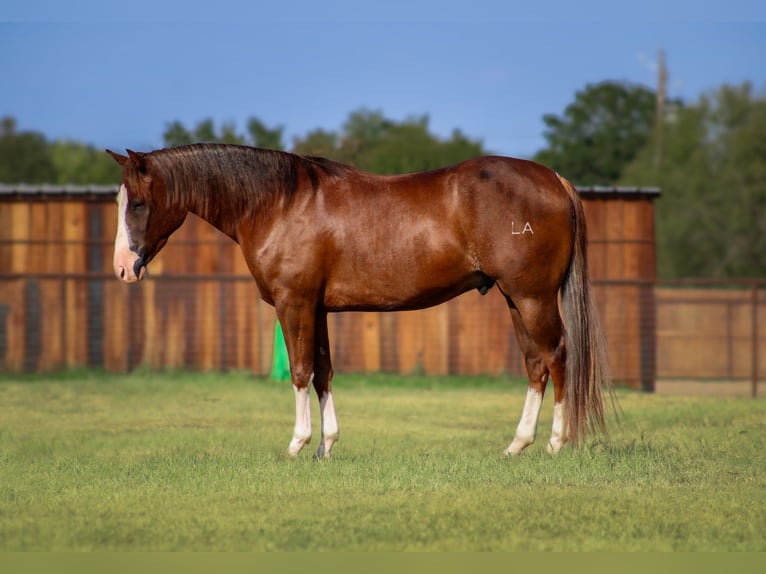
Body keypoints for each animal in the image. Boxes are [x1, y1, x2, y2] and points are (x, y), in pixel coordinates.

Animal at [108, 146, 612, 462]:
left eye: (138, 203)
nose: (123, 268)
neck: (278, 204)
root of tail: (554, 180)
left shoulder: (294, 305)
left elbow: (300, 372)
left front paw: (296, 444)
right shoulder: (317, 309)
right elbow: (323, 372)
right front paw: (325, 446)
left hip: (532, 297)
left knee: (558, 357)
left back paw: (556, 443)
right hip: (514, 299)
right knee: (535, 364)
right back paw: (517, 445)